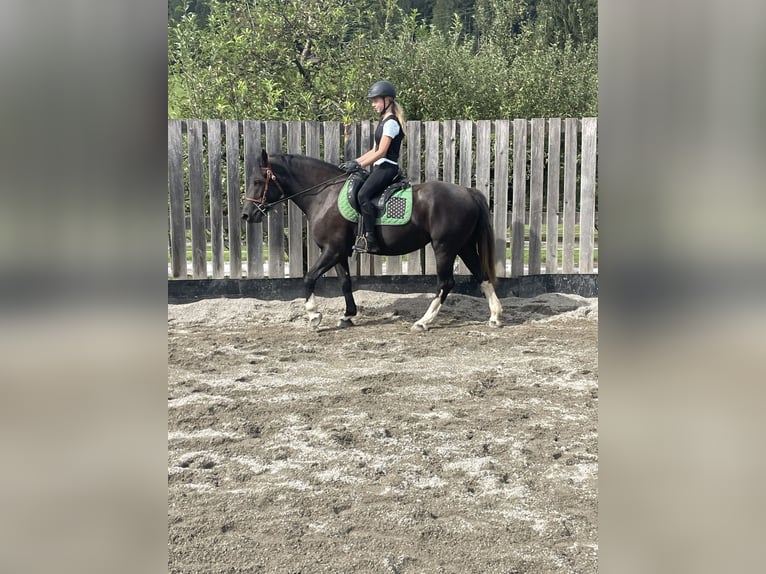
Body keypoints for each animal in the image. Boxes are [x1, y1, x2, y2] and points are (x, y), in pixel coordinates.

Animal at [242, 151, 504, 332]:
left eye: (257, 181)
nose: (246, 215)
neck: (325, 196)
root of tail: (468, 192)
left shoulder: (331, 250)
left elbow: (309, 278)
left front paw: (314, 316)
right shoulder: (339, 253)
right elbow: (345, 282)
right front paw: (347, 315)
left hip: (444, 248)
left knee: (445, 283)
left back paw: (423, 322)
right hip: (463, 246)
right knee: (482, 276)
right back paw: (494, 316)